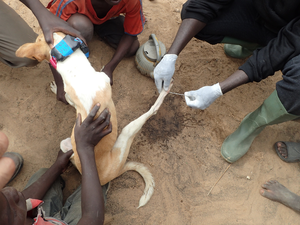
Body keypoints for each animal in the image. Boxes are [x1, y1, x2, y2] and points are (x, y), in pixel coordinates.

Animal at [15, 32, 171, 208]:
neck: (76, 69)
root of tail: (114, 172)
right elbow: (68, 99)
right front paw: (57, 90)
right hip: (114, 135)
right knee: (152, 111)